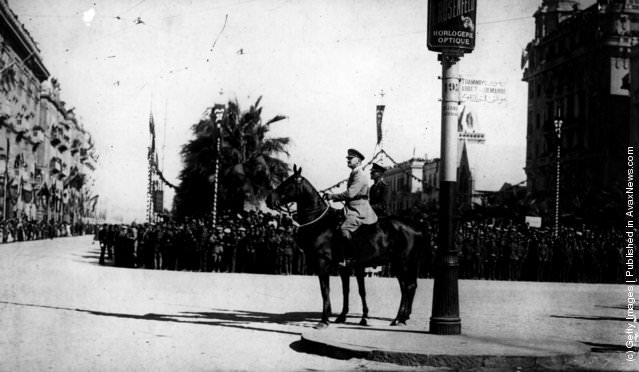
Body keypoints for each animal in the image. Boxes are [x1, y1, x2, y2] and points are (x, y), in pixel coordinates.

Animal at [266, 166, 424, 328]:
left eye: (288, 183)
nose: (268, 199)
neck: (321, 223)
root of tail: (416, 227)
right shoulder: (344, 267)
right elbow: (346, 290)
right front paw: (342, 316)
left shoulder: (323, 263)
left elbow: (325, 290)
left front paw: (324, 319)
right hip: (402, 264)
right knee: (408, 286)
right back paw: (402, 317)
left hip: (402, 263)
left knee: (407, 287)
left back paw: (398, 319)